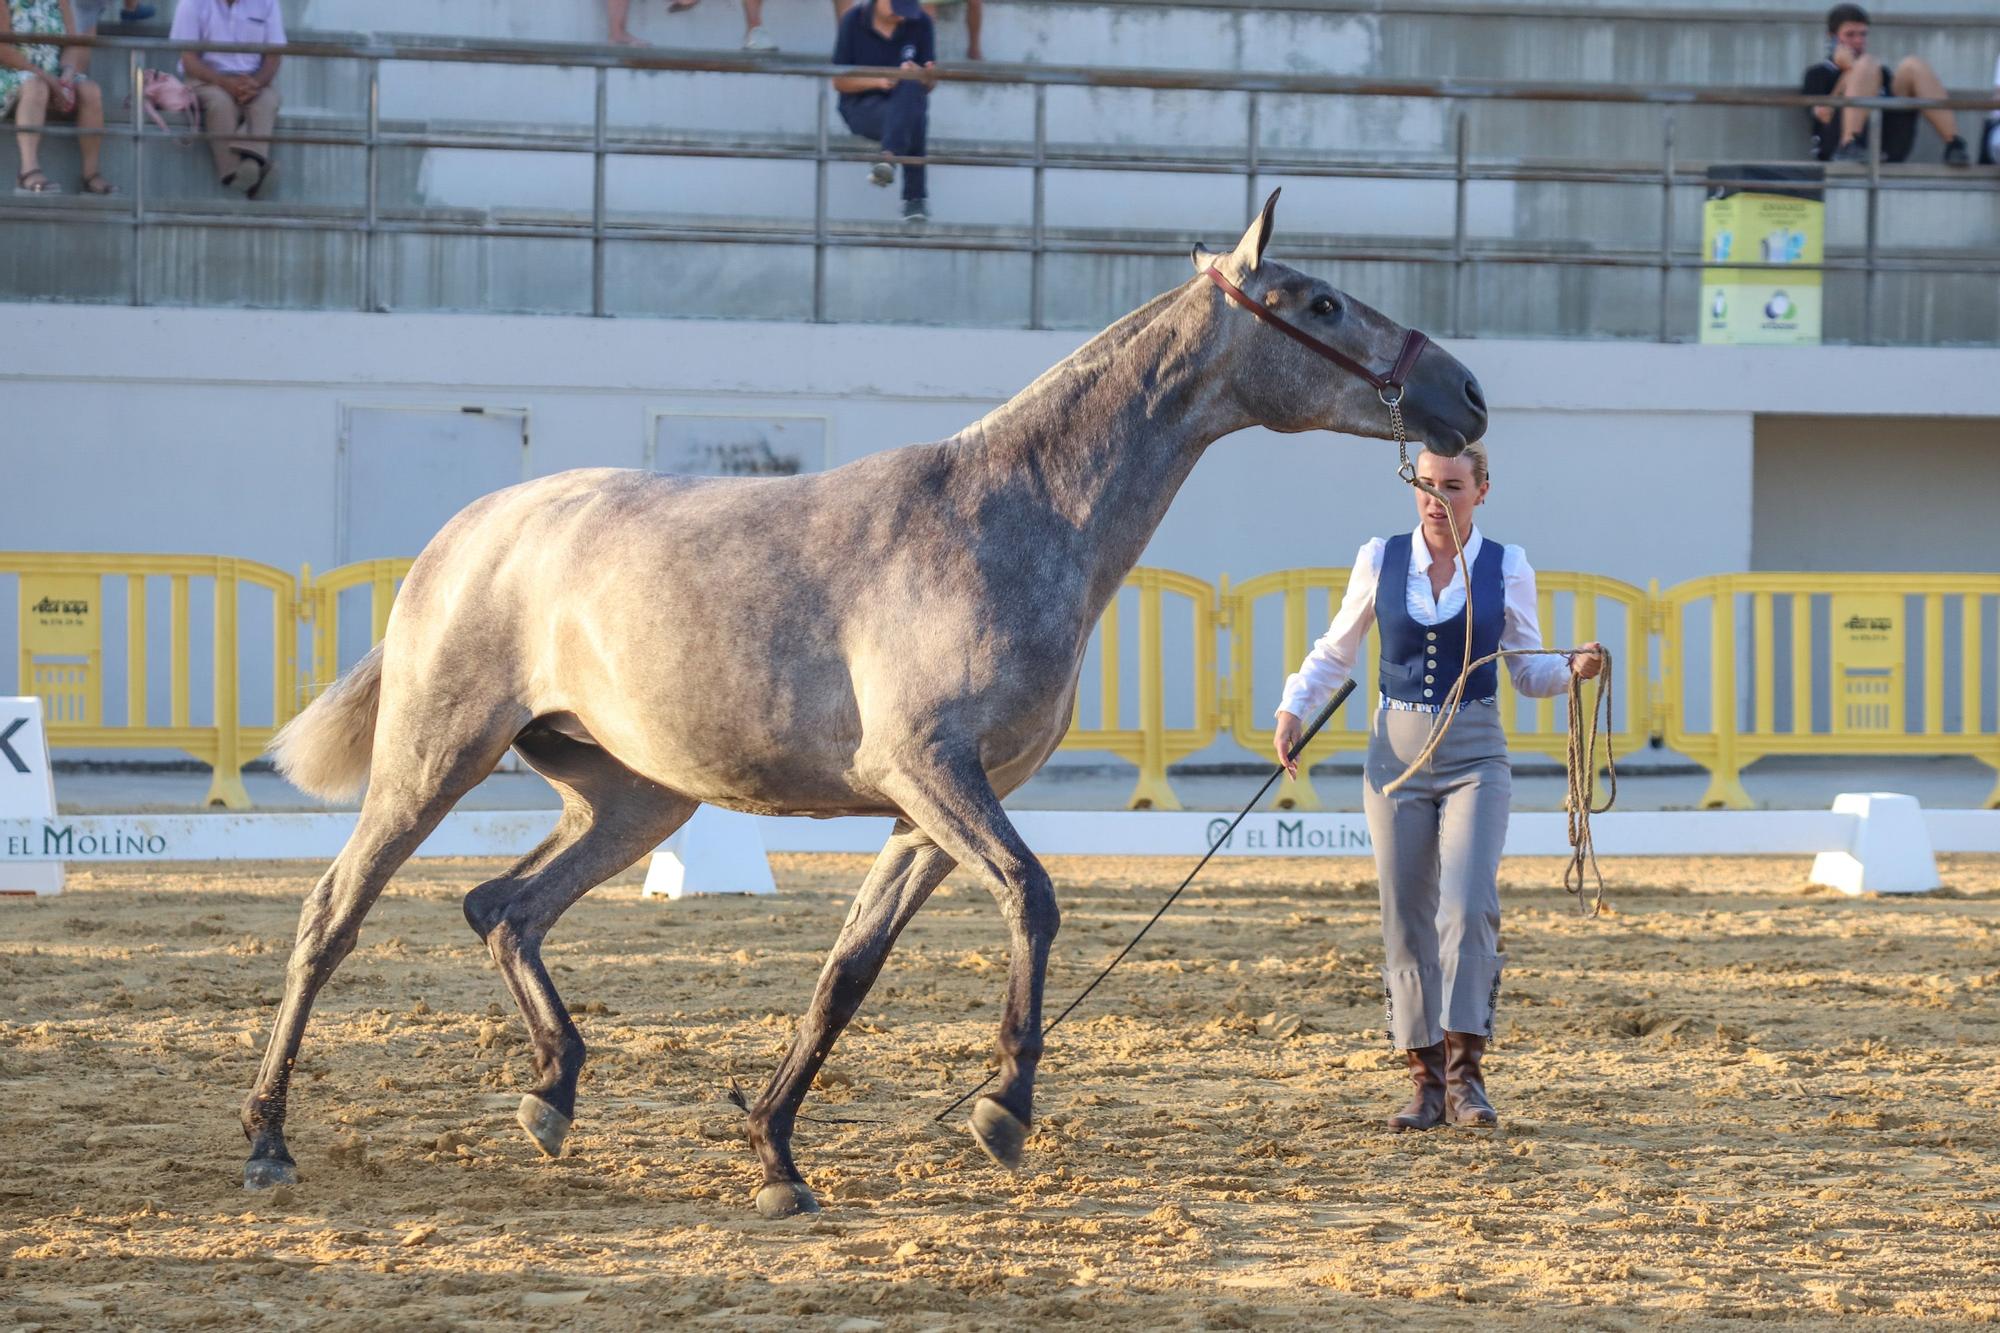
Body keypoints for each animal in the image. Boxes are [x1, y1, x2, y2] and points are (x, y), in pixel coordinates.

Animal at [246, 192, 1488, 1208]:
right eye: (1319, 302)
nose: (1464, 394)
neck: (1012, 516)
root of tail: (466, 532)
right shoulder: (927, 771)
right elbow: (1032, 900)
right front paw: (1000, 1107)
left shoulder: (924, 813)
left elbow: (845, 973)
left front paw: (775, 1154)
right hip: (432, 758)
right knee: (330, 918)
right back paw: (268, 1140)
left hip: (635, 799)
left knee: (504, 907)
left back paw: (551, 1094)